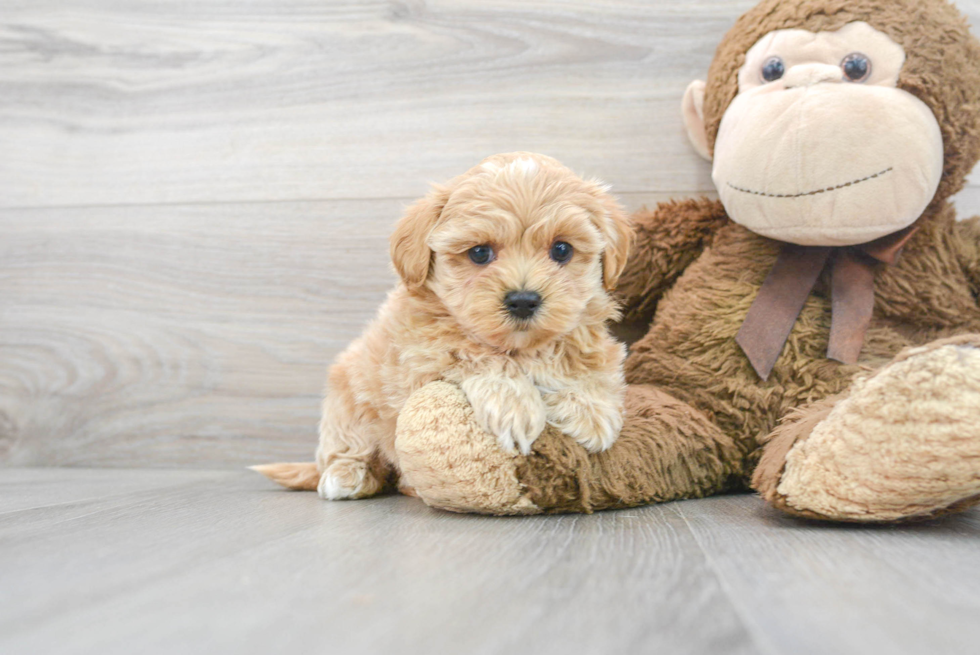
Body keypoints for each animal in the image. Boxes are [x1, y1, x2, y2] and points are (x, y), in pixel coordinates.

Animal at [255, 152, 636, 502]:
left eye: (561, 249)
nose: (524, 300)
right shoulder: (421, 354)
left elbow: (584, 359)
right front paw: (515, 405)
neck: (521, 347)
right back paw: (347, 476)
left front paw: (590, 409)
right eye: (479, 253)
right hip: (347, 398)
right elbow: (474, 352)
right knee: (347, 449)